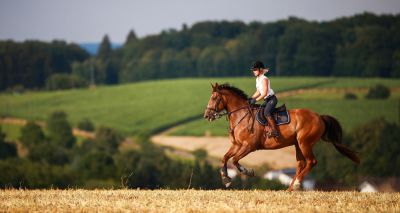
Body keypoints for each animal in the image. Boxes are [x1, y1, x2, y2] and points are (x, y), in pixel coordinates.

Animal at [203, 82, 360, 191]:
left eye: (214, 98)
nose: (206, 115)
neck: (242, 116)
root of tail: (319, 117)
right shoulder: (237, 145)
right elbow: (225, 158)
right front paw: (226, 179)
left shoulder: (249, 146)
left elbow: (235, 160)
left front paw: (248, 172)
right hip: (297, 144)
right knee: (300, 165)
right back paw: (290, 189)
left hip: (305, 142)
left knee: (311, 161)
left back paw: (296, 185)